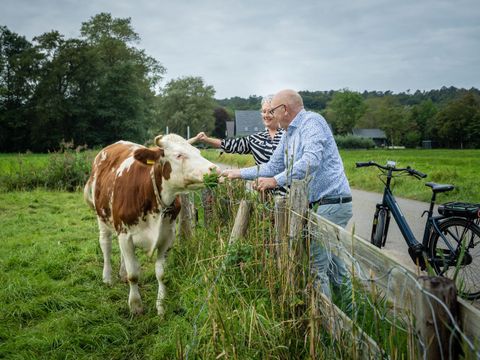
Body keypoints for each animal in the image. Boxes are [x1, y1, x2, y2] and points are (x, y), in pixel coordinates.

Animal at [84, 133, 219, 316]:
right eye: (179, 155)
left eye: (197, 151)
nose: (215, 169)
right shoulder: (126, 235)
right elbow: (134, 274)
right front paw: (135, 306)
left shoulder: (167, 237)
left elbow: (161, 274)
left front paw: (161, 306)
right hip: (102, 218)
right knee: (105, 244)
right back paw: (107, 277)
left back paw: (121, 273)